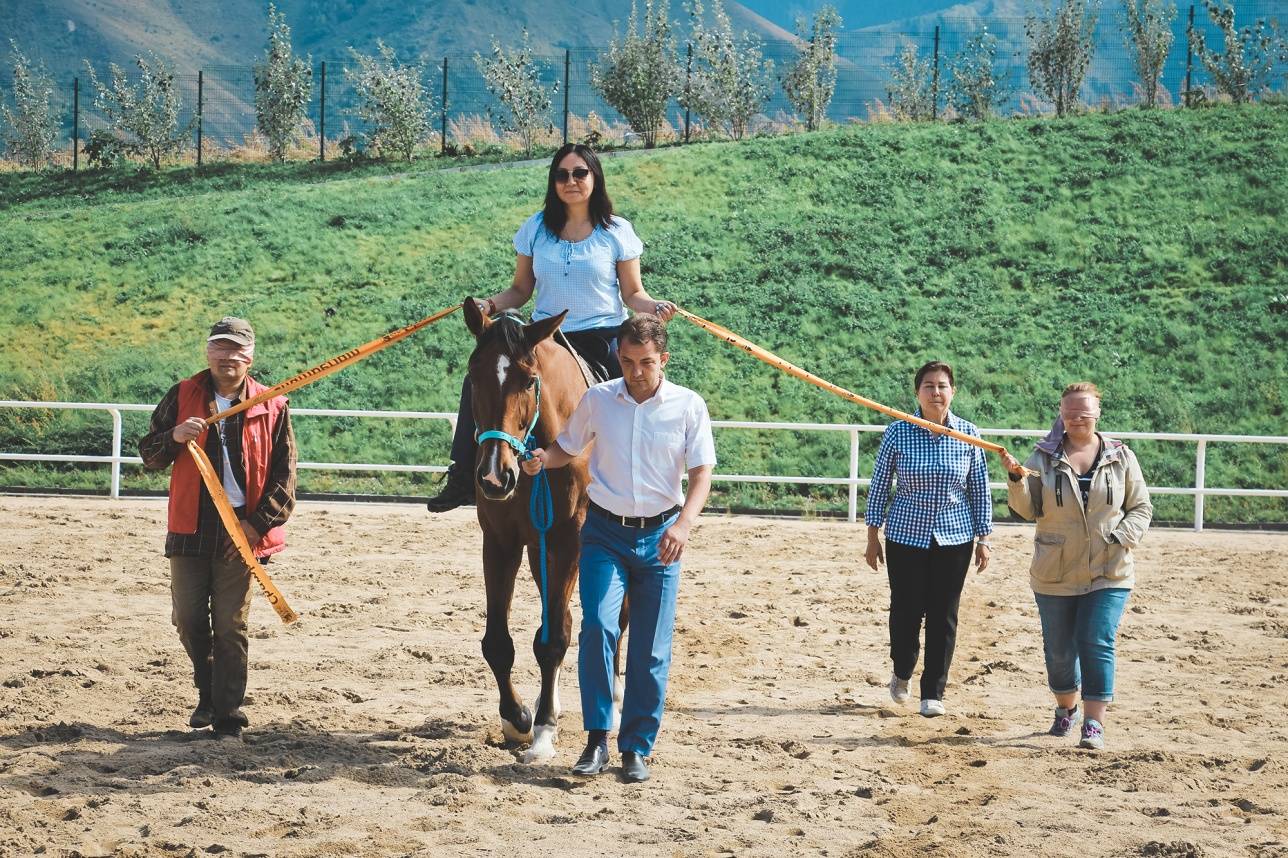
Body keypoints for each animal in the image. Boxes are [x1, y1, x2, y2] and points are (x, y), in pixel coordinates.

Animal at [463, 297, 592, 757]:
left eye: (529, 380)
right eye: (474, 376)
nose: (495, 476)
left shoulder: (570, 542)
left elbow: (553, 640)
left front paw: (544, 729)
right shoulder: (500, 542)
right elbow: (498, 642)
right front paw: (517, 719)